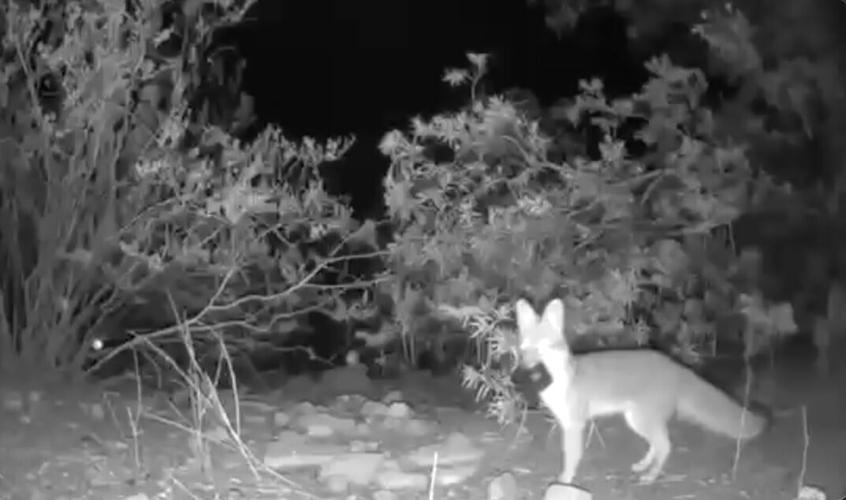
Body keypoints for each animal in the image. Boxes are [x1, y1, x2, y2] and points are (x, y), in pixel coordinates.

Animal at [514, 297, 768, 485]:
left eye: (543, 347)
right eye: (524, 349)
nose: (528, 369)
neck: (563, 380)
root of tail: (675, 365)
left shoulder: (575, 425)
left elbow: (571, 458)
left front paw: (565, 479)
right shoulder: (566, 423)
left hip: (641, 420)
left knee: (666, 446)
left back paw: (651, 476)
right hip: (636, 420)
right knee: (659, 445)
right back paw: (644, 466)